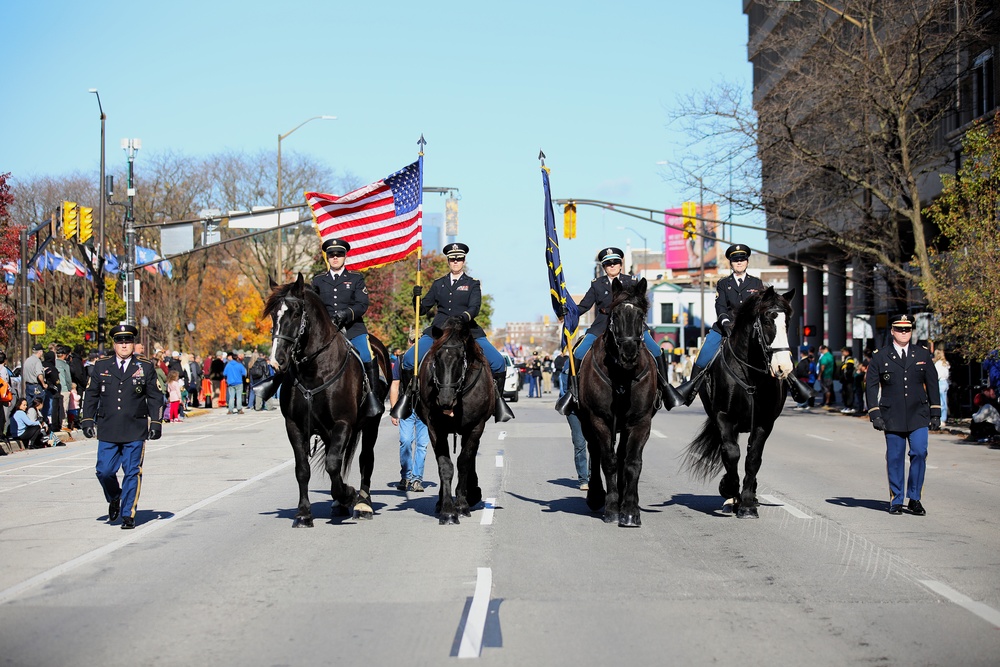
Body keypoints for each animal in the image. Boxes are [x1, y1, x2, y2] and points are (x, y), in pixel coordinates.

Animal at [262, 274, 390, 528]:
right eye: (273, 314)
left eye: (295, 313)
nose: (276, 360)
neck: (314, 369)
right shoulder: (295, 426)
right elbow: (303, 469)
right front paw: (303, 513)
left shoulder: (343, 423)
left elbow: (332, 463)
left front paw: (348, 493)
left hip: (371, 424)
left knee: (365, 459)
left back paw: (363, 503)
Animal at [414, 318, 492, 528]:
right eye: (436, 358)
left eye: (461, 358)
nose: (445, 400)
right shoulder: (435, 428)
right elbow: (445, 465)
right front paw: (448, 510)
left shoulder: (476, 427)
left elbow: (464, 462)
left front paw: (462, 504)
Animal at [576, 276, 660, 528]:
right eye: (615, 315)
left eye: (641, 315)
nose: (629, 353)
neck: (622, 376)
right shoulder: (600, 420)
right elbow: (608, 461)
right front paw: (612, 508)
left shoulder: (641, 422)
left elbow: (632, 462)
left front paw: (630, 510)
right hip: (586, 422)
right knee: (595, 452)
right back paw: (596, 496)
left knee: (623, 456)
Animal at [684, 284, 792, 520]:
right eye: (768, 320)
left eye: (788, 321)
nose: (784, 368)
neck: (751, 375)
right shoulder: (724, 418)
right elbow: (731, 453)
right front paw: (729, 489)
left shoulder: (763, 422)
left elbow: (753, 458)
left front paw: (748, 503)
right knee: (728, 451)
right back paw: (730, 498)